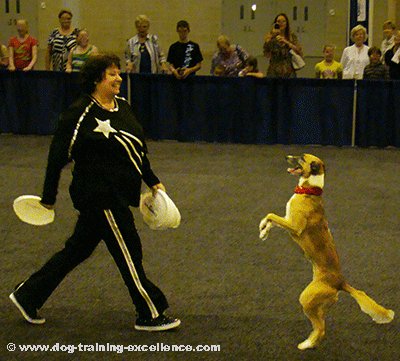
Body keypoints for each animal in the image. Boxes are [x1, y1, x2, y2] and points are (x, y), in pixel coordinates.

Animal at [260, 154, 394, 348]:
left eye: (301, 158)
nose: (286, 156)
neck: (308, 190)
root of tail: (341, 283)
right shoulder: (286, 219)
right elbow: (271, 220)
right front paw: (263, 231)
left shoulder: (294, 226)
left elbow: (271, 215)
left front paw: (262, 228)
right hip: (319, 306)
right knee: (321, 325)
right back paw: (311, 340)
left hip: (307, 299)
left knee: (321, 328)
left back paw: (306, 344)